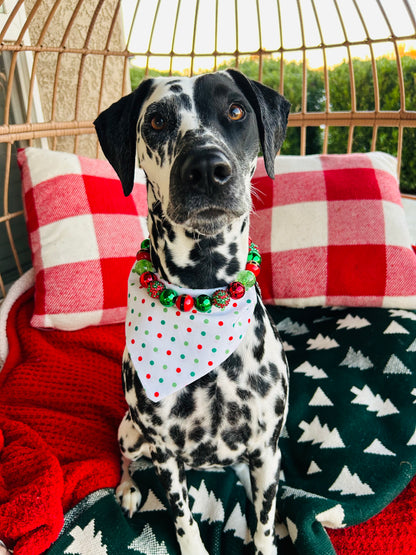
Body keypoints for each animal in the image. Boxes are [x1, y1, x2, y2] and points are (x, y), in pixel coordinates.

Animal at [94, 70, 290, 555]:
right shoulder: (164, 452)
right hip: (130, 432)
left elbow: (262, 519)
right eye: (157, 121)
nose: (204, 168)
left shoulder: (266, 447)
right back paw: (127, 488)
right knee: (124, 458)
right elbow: (183, 520)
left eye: (237, 110)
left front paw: (266, 533)